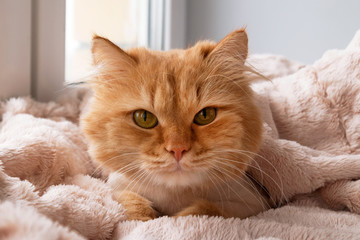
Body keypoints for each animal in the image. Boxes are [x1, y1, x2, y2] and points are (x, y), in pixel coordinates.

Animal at [79, 29, 270, 220]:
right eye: (144, 118)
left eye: (205, 115)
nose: (178, 149)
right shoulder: (116, 186)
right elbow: (132, 202)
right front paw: (146, 217)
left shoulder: (253, 204)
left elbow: (203, 210)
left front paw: (174, 218)